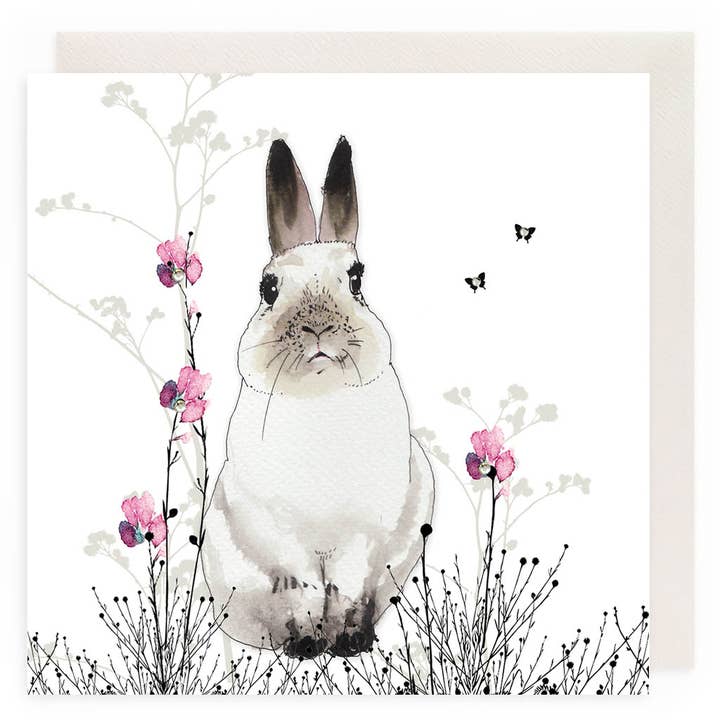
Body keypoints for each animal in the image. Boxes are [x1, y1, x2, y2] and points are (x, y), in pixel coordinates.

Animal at [202, 136, 434, 658]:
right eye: (268, 288)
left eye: (357, 279)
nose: (318, 328)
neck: (320, 394)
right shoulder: (282, 540)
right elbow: (303, 589)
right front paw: (309, 643)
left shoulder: (361, 536)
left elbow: (345, 589)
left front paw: (345, 642)